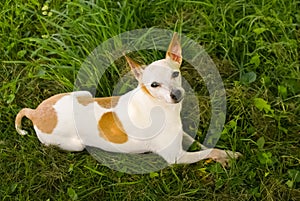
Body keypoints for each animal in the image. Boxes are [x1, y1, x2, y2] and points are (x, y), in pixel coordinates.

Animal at [14, 33, 241, 166]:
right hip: (73, 144)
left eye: (175, 74)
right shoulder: (177, 157)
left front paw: (224, 152)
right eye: (154, 85)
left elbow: (202, 144)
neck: (159, 106)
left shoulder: (181, 135)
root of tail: (35, 113)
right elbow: (208, 151)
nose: (176, 95)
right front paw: (227, 156)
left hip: (83, 94)